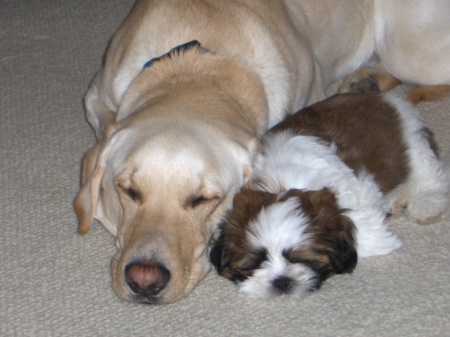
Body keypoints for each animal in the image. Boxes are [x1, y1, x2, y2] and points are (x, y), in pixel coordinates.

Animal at [209, 93, 448, 298]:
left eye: (303, 259)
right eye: (254, 263)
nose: (281, 281)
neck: (284, 184)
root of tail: (384, 98)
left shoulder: (356, 194)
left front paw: (379, 242)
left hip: (411, 140)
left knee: (428, 173)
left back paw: (427, 205)